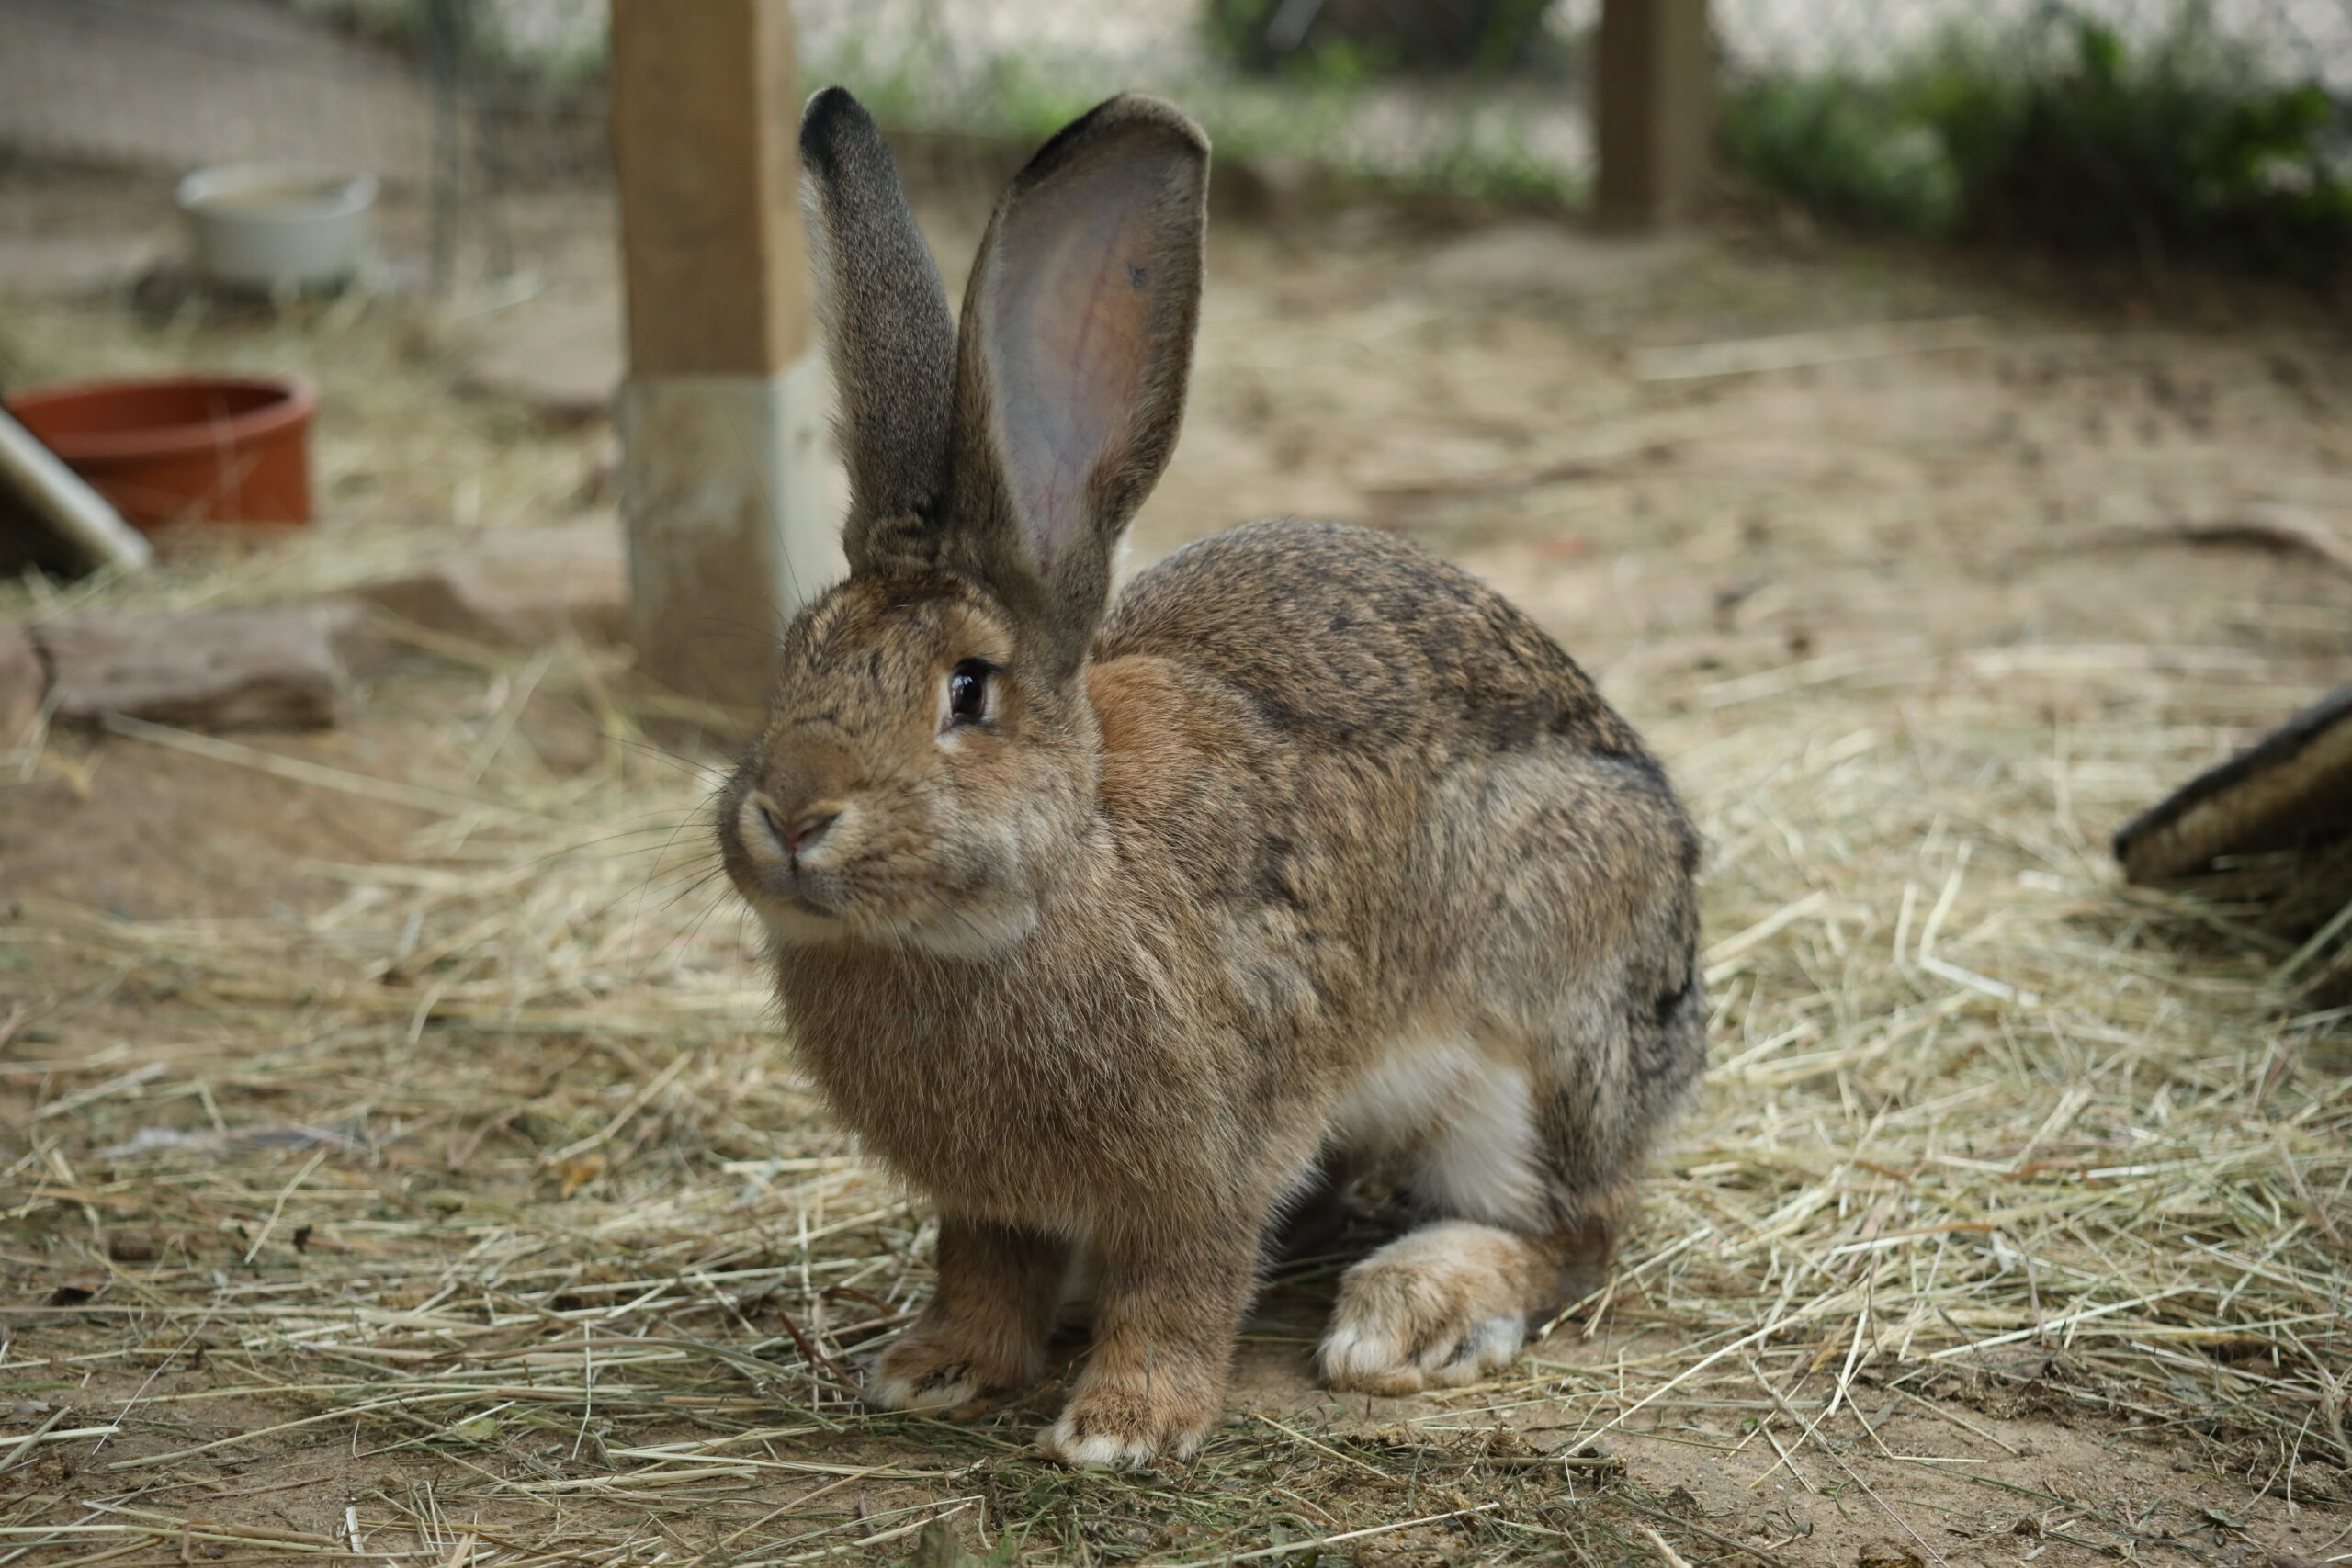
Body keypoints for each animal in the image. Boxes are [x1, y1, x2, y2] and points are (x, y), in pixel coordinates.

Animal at [714, 86, 1706, 1469]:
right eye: (795, 652)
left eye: (968, 689)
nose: (791, 812)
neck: (1049, 881)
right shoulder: (989, 1198)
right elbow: (983, 1264)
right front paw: (936, 1366)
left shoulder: (1215, 1153)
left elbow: (1184, 1281)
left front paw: (1123, 1425)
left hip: (1539, 1039)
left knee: (1574, 1228)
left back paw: (1411, 1309)